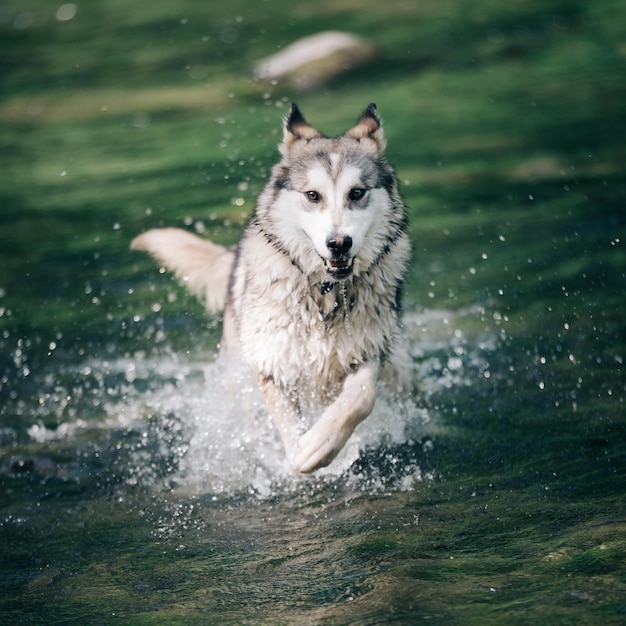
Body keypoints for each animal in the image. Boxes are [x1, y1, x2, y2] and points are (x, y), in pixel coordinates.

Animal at [131, 103, 412, 472]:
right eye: (312, 195)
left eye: (357, 193)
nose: (339, 244)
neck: (324, 294)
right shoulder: (271, 363)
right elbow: (289, 428)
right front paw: (303, 453)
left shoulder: (369, 350)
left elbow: (360, 399)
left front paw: (319, 445)